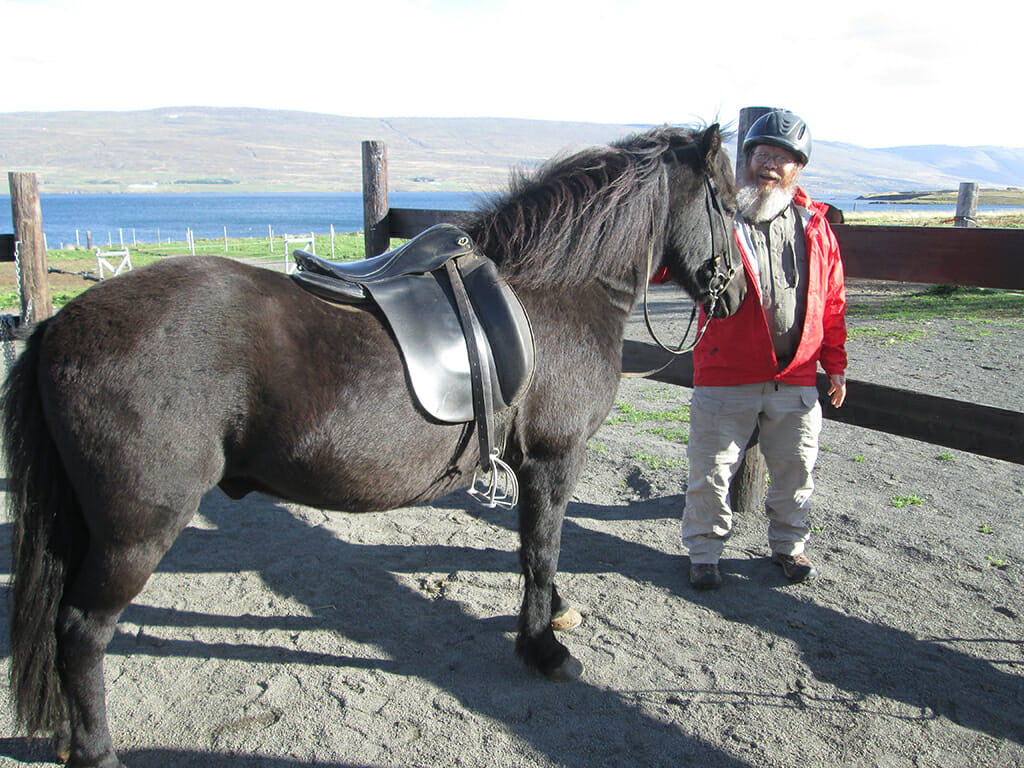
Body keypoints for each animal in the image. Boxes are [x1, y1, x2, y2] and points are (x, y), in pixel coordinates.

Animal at [3, 123, 745, 767]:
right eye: (729, 201)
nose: (737, 293)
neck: (554, 290)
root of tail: (59, 327)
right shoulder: (553, 460)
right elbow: (540, 551)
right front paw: (542, 647)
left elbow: (540, 549)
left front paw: (557, 616)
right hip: (136, 531)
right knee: (81, 630)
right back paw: (95, 751)